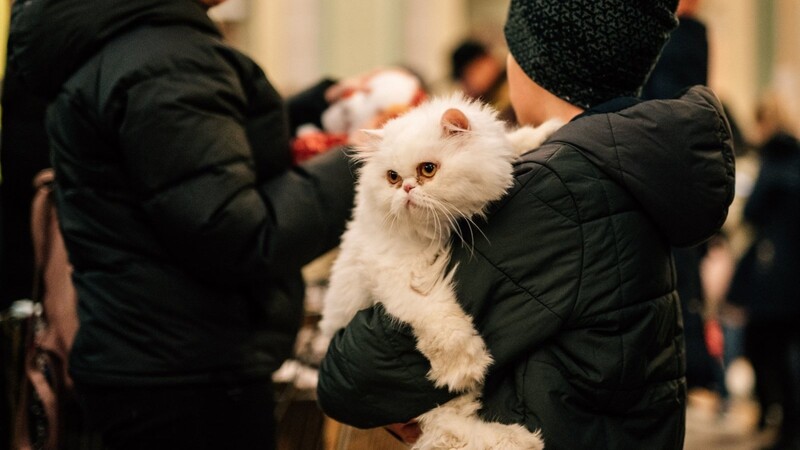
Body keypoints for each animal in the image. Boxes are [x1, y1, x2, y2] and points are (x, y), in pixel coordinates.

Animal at [316, 95, 560, 450]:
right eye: (392, 177)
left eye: (427, 170)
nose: (405, 188)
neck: (437, 229)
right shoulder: (399, 276)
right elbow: (441, 322)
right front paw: (466, 364)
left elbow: (514, 141)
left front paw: (546, 130)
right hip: (441, 407)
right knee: (450, 428)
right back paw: (521, 439)